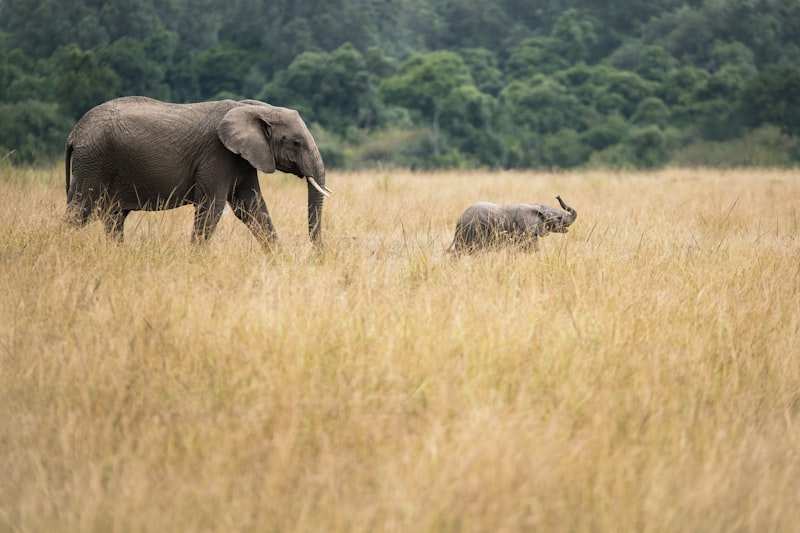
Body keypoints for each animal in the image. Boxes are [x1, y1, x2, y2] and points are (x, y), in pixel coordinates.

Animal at [64, 96, 330, 246]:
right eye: (296, 142)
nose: (315, 257)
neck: (254, 108)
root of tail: (74, 133)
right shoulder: (217, 154)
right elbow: (212, 207)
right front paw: (194, 259)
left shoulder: (242, 158)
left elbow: (251, 207)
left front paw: (279, 260)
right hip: (94, 161)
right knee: (80, 211)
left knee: (113, 216)